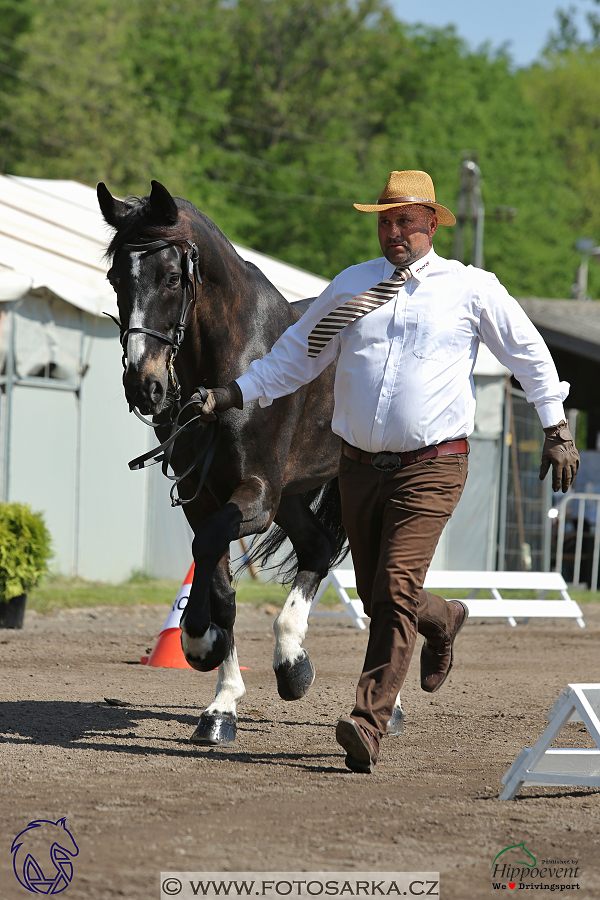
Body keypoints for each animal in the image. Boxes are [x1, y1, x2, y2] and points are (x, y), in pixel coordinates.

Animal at [98, 181, 346, 744]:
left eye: (172, 278)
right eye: (116, 277)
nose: (145, 386)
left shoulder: (255, 493)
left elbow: (210, 550)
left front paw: (198, 644)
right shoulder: (206, 497)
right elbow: (218, 582)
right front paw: (220, 705)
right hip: (292, 495)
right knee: (318, 547)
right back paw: (292, 664)